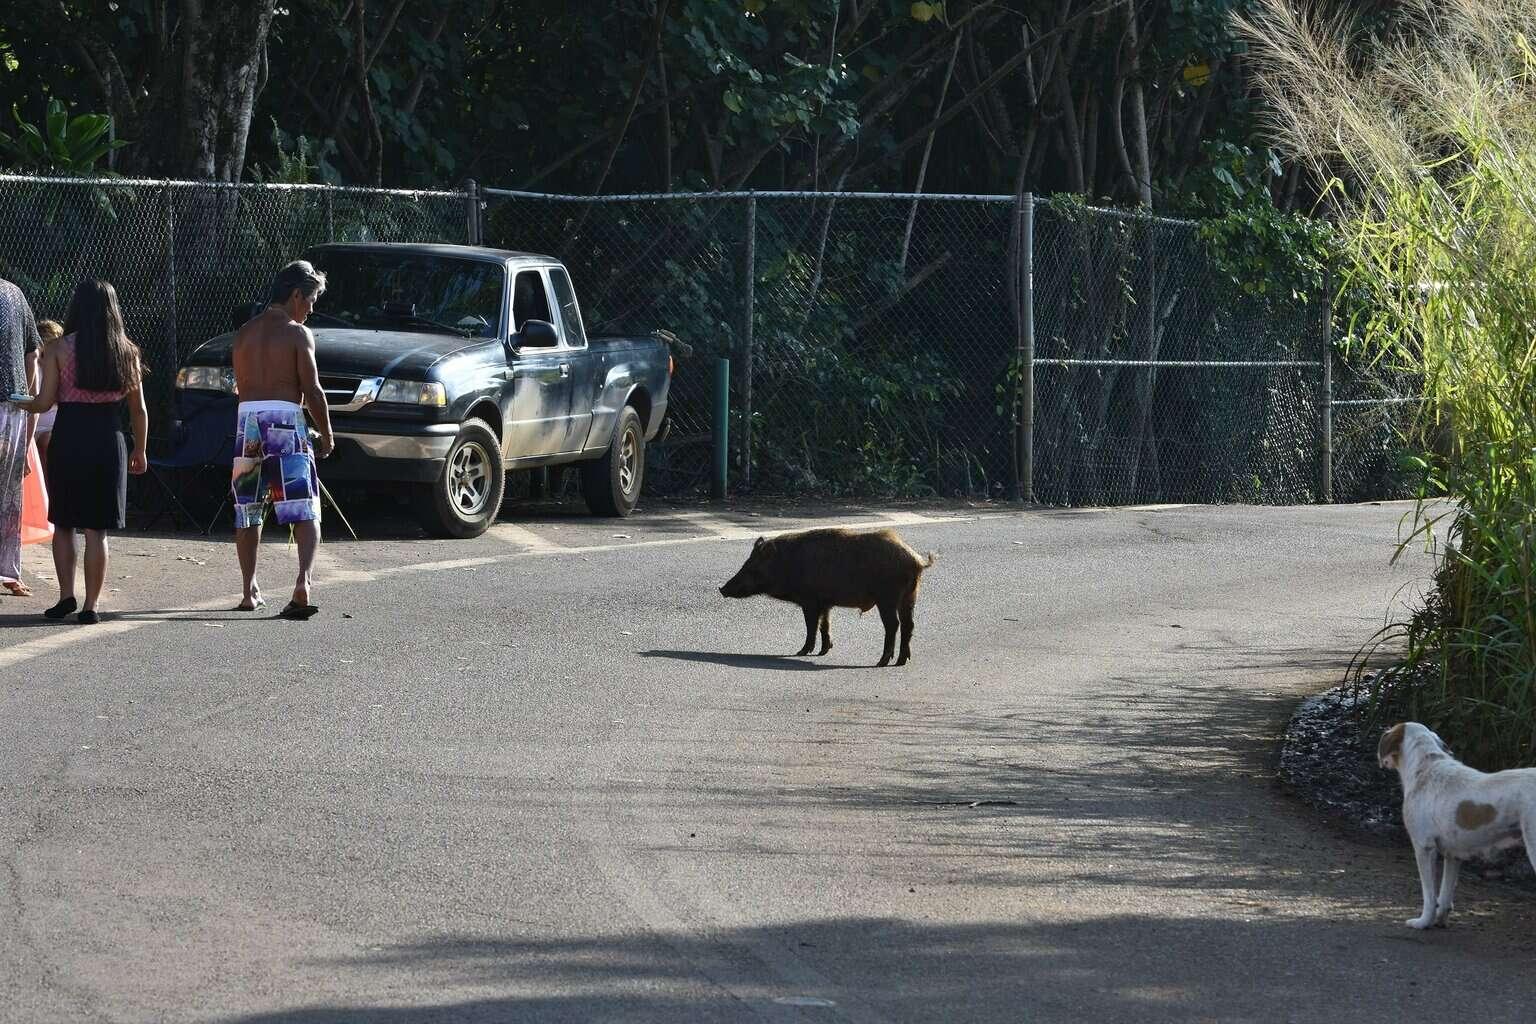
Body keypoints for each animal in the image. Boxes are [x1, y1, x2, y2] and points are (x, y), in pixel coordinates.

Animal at [718, 528, 933, 666]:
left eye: (752, 568)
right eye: (745, 564)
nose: (721, 589)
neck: (787, 563)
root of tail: (916, 559)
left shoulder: (810, 601)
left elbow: (811, 625)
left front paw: (801, 652)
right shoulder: (825, 603)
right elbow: (824, 625)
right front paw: (824, 651)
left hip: (887, 597)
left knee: (893, 625)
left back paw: (881, 662)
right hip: (910, 597)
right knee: (908, 625)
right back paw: (901, 661)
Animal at [1382, 721, 1536, 927]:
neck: (1427, 767)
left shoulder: (1424, 848)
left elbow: (1429, 896)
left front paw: (1423, 922)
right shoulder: (1452, 855)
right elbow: (1445, 895)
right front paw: (1440, 920)